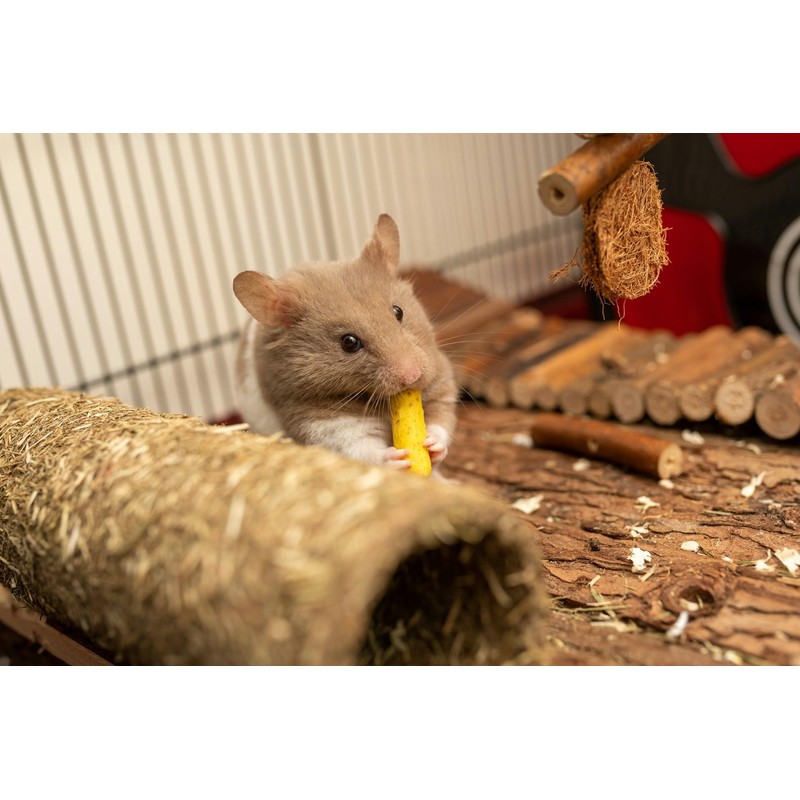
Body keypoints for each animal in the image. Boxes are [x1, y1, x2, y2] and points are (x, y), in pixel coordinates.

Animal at [232, 213, 458, 472]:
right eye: (349, 342)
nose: (412, 376)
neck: (371, 397)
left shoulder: (440, 380)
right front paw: (397, 459)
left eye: (398, 311)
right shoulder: (322, 422)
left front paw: (432, 445)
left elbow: (441, 419)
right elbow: (360, 448)